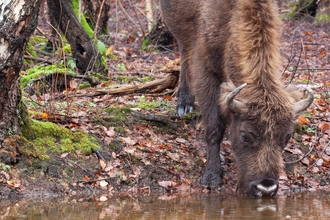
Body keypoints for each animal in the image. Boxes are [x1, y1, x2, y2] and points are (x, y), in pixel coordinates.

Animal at [161, 0, 314, 196]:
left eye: (287, 137)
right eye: (245, 135)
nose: (266, 188)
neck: (233, 17)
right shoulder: (207, 71)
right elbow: (214, 128)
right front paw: (211, 177)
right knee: (185, 52)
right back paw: (185, 105)